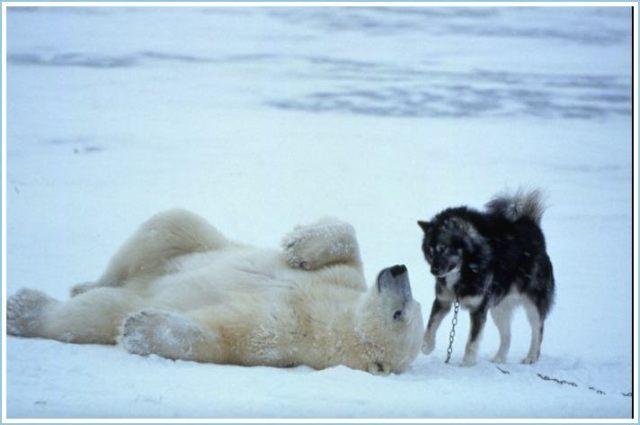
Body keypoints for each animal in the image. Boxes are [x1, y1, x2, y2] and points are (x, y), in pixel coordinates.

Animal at [7, 210, 424, 372]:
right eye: (413, 304)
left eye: (401, 313)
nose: (399, 270)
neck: (336, 316)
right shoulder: (344, 281)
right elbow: (348, 243)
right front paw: (298, 245)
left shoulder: (289, 332)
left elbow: (225, 333)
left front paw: (140, 328)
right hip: (185, 244)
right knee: (167, 226)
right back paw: (83, 283)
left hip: (128, 295)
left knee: (92, 313)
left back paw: (22, 309)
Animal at [420, 190, 556, 364]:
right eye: (430, 251)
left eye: (443, 248)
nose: (434, 271)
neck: (465, 271)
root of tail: (532, 227)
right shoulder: (443, 301)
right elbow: (431, 325)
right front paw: (426, 346)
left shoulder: (478, 309)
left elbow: (472, 342)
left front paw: (467, 364)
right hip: (499, 309)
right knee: (507, 336)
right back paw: (499, 358)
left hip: (533, 304)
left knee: (538, 331)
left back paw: (531, 357)